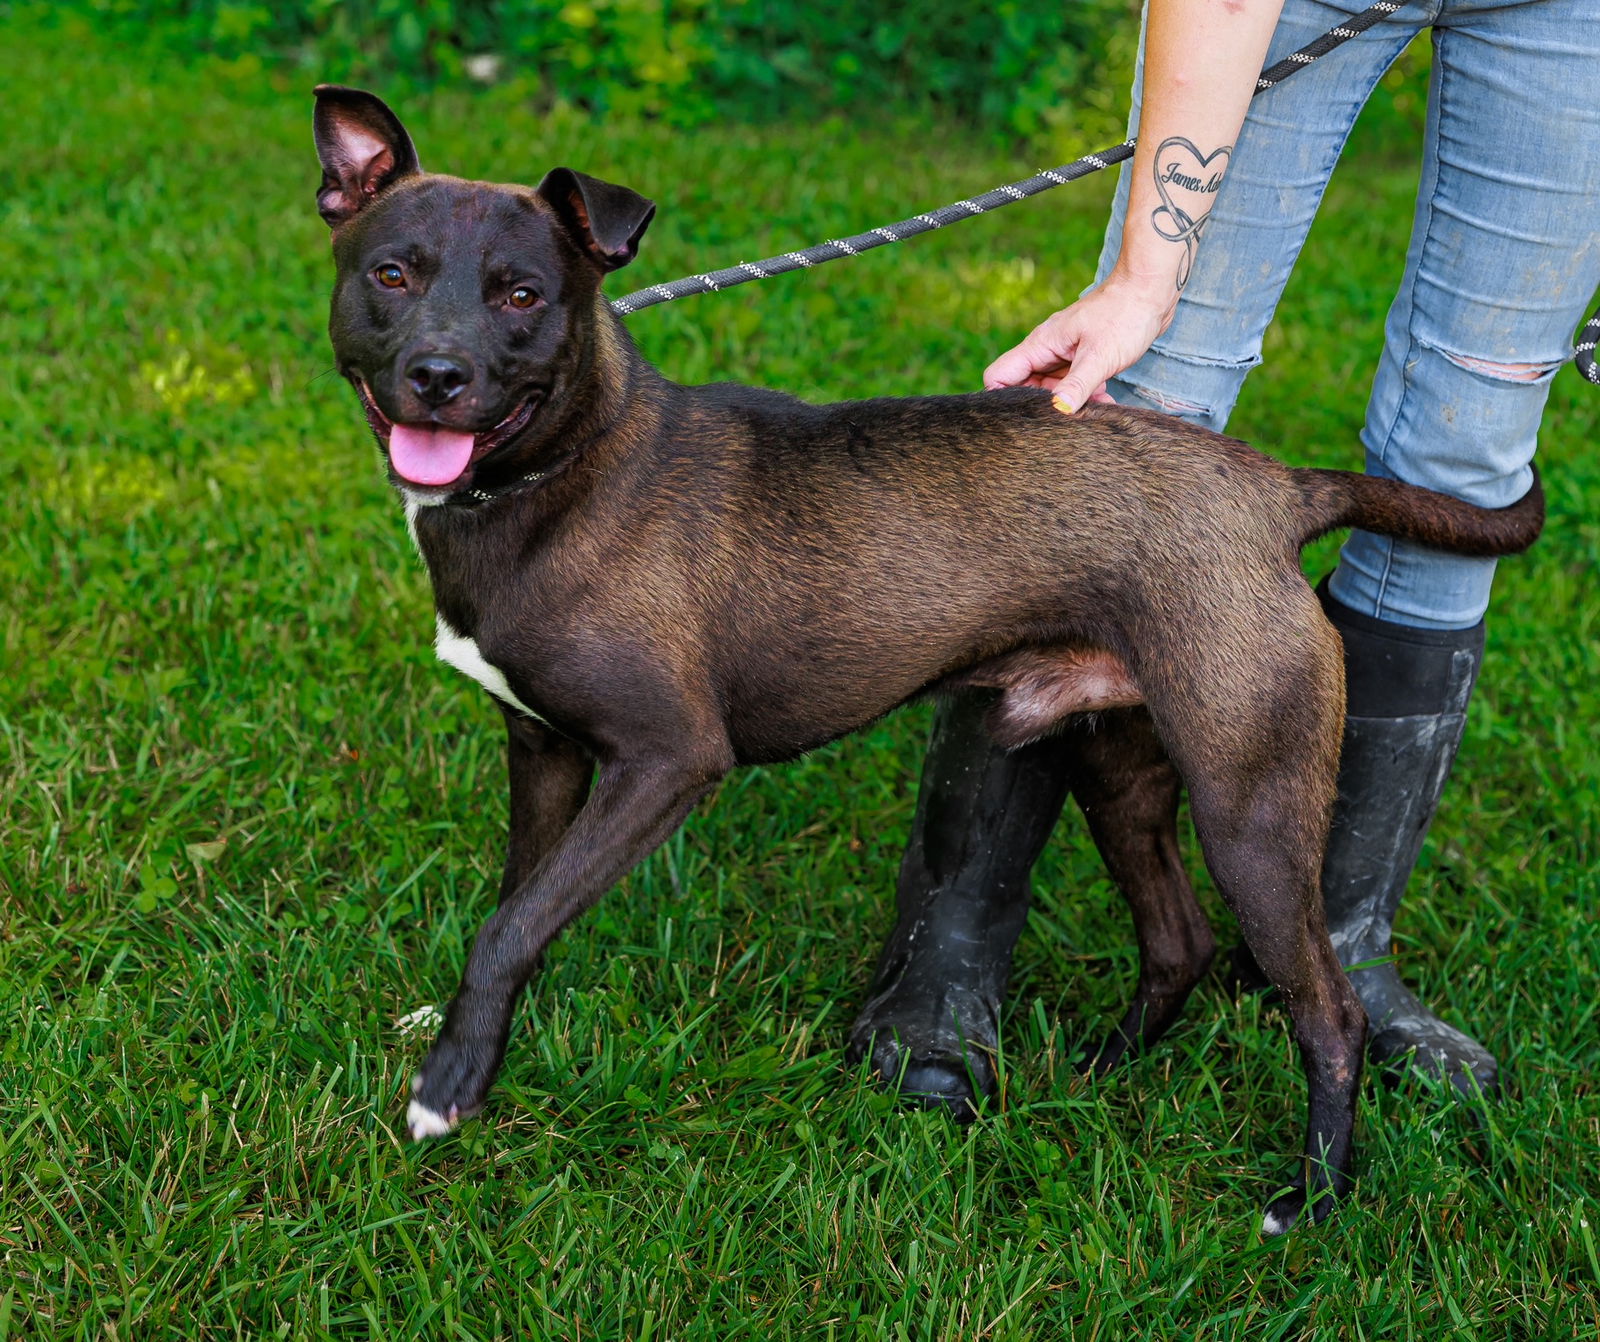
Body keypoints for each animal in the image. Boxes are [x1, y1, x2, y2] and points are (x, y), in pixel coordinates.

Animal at [305, 89, 1542, 1234]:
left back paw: (1314, 1196)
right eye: (393, 275)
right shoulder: (543, 751)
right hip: (1118, 769)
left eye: (523, 295)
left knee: (1326, 1012)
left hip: (1250, 805)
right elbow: (520, 899)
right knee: (1178, 941)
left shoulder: (664, 760)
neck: (563, 469)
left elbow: (507, 925)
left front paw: (448, 1086)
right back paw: (1103, 1073)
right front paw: (466, 1042)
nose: (437, 374)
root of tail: (1276, 488)